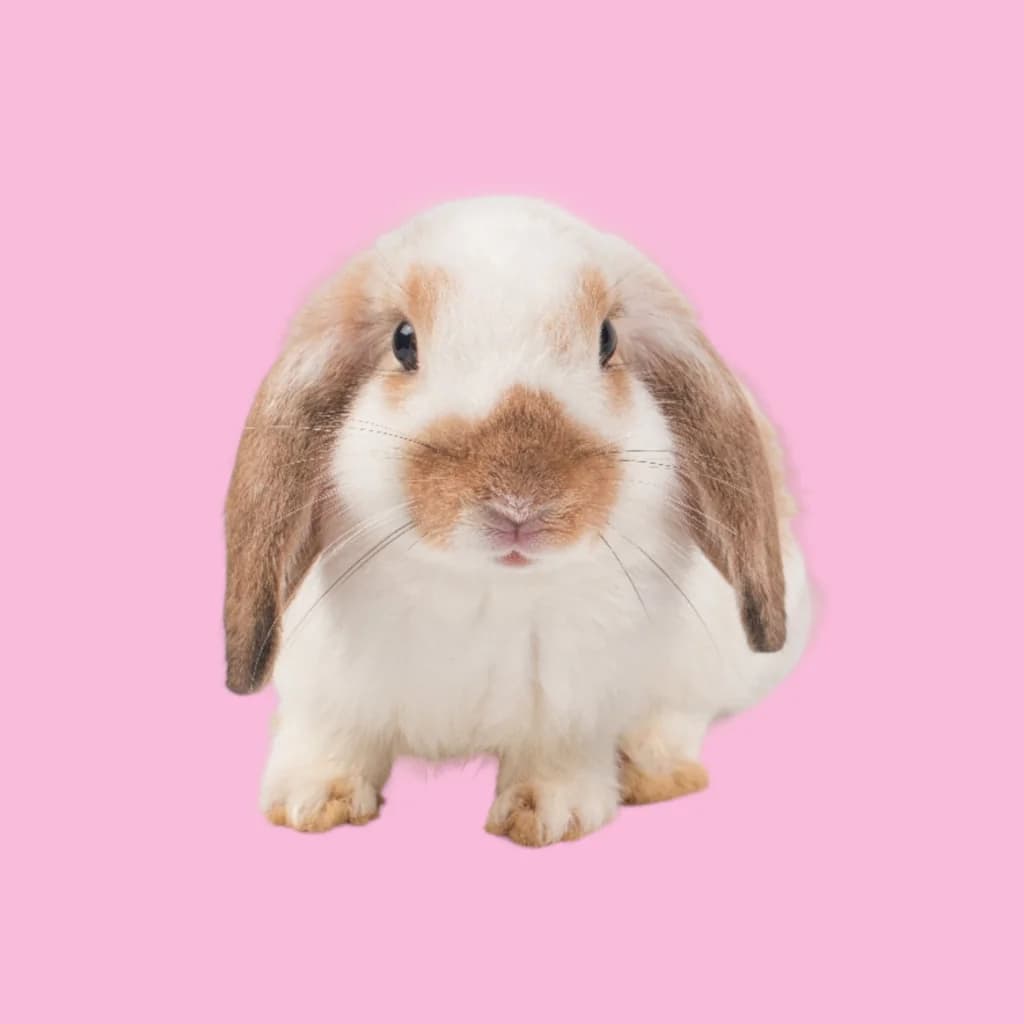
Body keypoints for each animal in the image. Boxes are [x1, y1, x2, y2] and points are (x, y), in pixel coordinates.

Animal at [223, 196, 813, 846]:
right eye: (403, 342)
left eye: (607, 339)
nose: (519, 502)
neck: (487, 588)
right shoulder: (325, 688)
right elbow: (330, 738)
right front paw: (310, 802)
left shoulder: (575, 702)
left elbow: (559, 753)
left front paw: (549, 812)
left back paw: (654, 771)